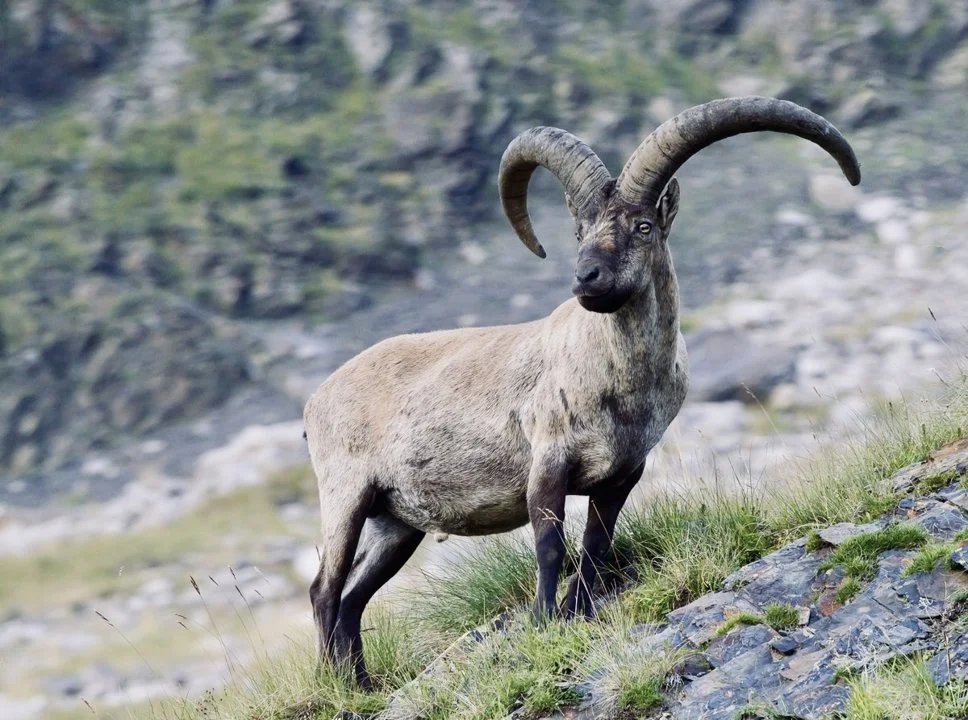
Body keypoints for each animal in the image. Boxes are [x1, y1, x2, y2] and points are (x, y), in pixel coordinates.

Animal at [303, 96, 861, 687]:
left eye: (643, 225)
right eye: (579, 230)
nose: (586, 277)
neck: (618, 381)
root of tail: (315, 402)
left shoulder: (623, 471)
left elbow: (595, 545)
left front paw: (579, 613)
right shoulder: (548, 461)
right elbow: (551, 547)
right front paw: (545, 622)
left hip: (395, 522)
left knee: (354, 596)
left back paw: (362, 684)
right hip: (346, 495)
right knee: (325, 588)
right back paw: (334, 686)